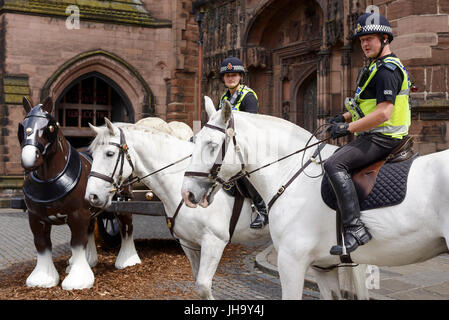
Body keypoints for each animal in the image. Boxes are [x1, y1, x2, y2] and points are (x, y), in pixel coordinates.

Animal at [83, 119, 270, 298]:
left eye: (109, 154)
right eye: (92, 154)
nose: (92, 196)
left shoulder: (214, 242)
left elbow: (203, 286)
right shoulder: (189, 243)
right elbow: (198, 285)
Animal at [179, 96, 448, 298]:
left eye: (212, 145)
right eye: (194, 141)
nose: (187, 193)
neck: (290, 172)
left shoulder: (291, 261)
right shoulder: (323, 266)